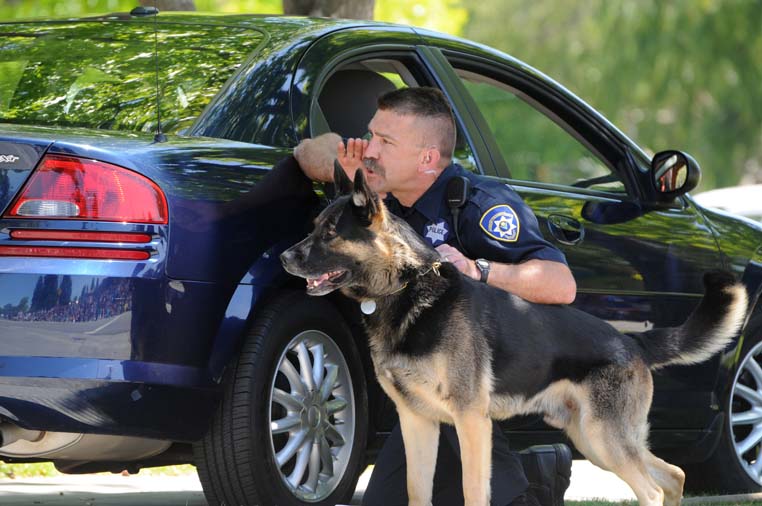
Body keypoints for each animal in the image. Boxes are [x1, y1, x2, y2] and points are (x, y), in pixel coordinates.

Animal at [280, 167, 748, 506]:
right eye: (314, 226)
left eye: (330, 233)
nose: (283, 256)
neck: (407, 288)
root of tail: (631, 342)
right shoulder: (419, 423)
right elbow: (417, 492)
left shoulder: (471, 421)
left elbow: (473, 491)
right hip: (593, 439)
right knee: (673, 476)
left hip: (604, 438)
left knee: (650, 490)